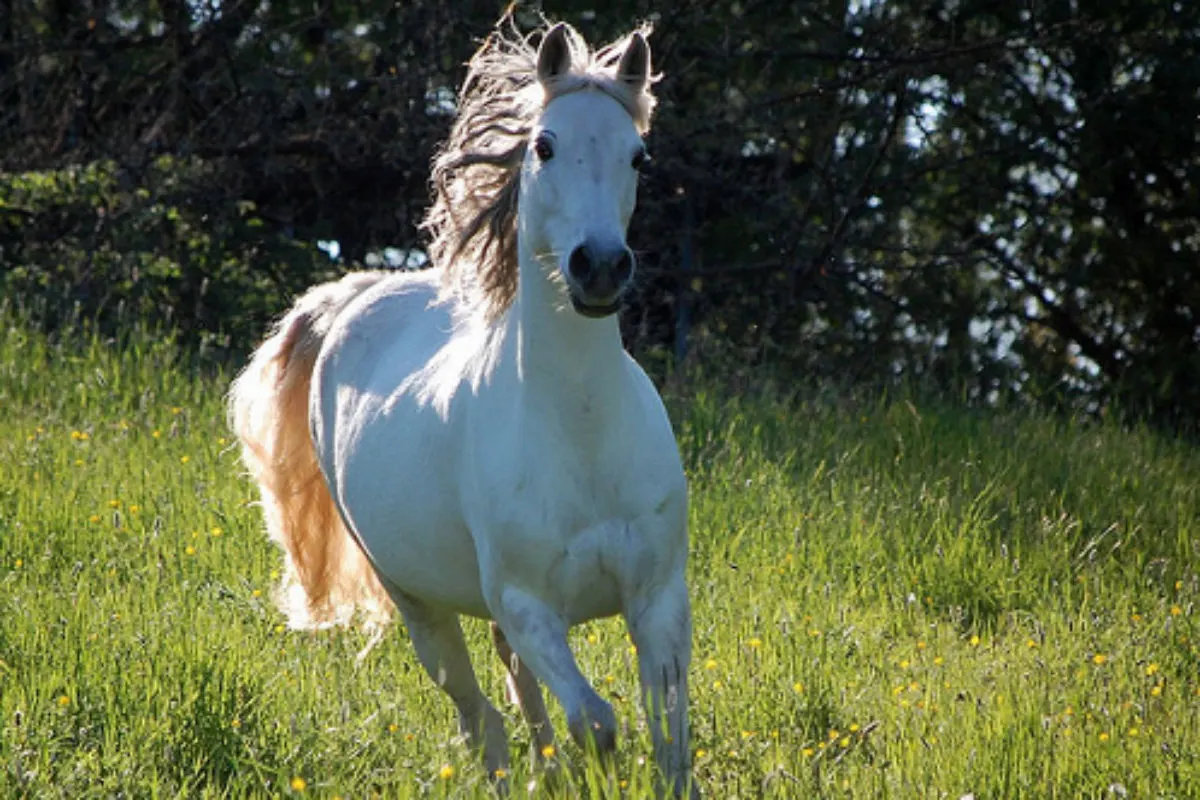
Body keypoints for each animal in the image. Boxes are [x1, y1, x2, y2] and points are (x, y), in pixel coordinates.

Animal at [229, 19, 696, 797]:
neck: (582, 433)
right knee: (481, 718)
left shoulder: (659, 599)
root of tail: (354, 295)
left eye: (640, 155)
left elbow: (668, 742)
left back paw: (542, 771)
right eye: (544, 146)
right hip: (419, 607)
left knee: (516, 692)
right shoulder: (529, 605)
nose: (600, 267)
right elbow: (597, 724)